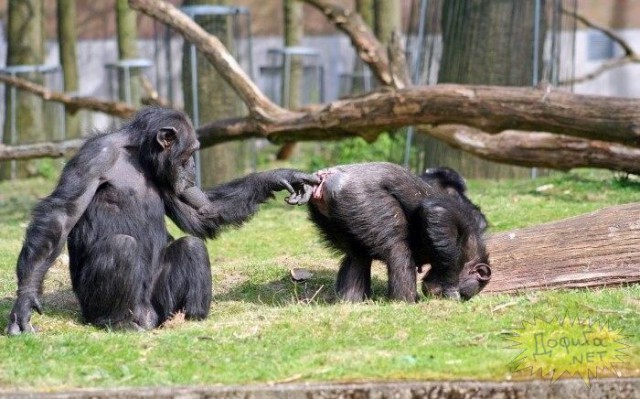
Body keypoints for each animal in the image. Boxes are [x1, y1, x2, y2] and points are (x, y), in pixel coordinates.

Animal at [8, 108, 318, 336]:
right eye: (189, 153)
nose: (192, 166)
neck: (138, 156)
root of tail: (149, 316)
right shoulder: (94, 156)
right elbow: (61, 215)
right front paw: (25, 300)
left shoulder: (170, 177)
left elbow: (202, 211)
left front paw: (280, 177)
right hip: (99, 306)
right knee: (121, 246)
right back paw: (118, 322)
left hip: (159, 304)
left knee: (192, 246)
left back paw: (188, 318)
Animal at [288, 162, 490, 304]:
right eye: (464, 294)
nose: (462, 298)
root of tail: (323, 178)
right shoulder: (460, 215)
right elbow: (436, 213)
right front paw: (449, 288)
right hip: (362, 199)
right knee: (397, 249)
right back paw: (405, 301)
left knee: (357, 256)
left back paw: (351, 300)